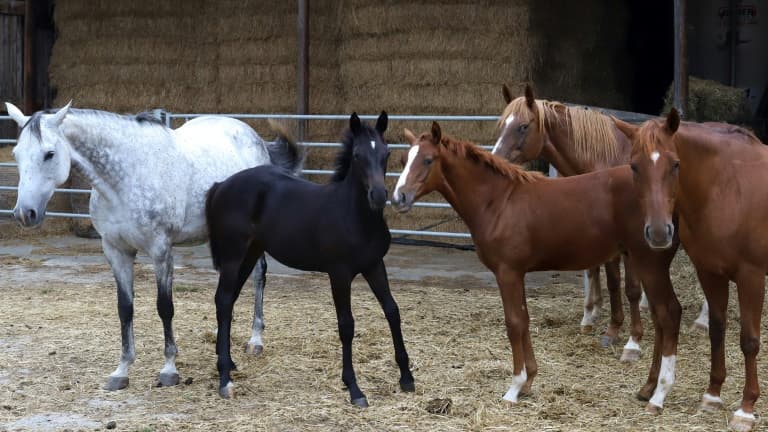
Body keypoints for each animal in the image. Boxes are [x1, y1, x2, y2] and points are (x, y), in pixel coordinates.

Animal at [390, 121, 680, 408]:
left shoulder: (507, 272)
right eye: (403, 159)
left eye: (428, 160)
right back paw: (647, 388)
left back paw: (659, 394)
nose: (398, 198)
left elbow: (514, 323)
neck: (499, 202)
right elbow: (524, 320)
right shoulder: (517, 273)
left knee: (668, 315)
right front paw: (529, 381)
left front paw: (514, 388)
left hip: (650, 265)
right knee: (659, 319)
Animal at [612, 109, 768, 432]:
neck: (728, 189)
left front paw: (746, 409)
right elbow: (717, 329)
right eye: (634, 166)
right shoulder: (710, 272)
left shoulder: (751, 276)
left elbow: (749, 340)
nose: (660, 232)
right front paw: (712, 395)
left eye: (675, 164)